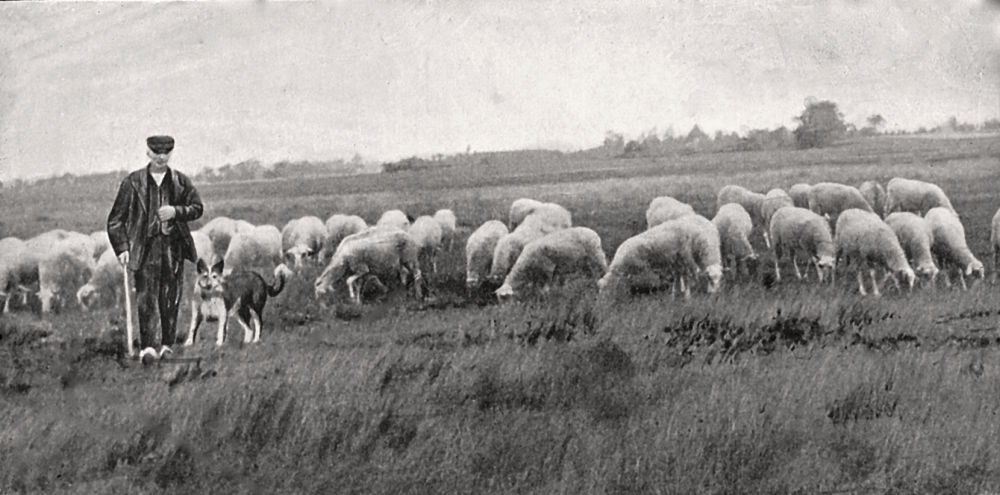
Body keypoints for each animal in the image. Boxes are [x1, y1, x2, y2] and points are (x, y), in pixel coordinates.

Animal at [596, 214, 724, 298]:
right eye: (710, 279)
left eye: (719, 279)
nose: (714, 295)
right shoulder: (682, 260)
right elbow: (682, 278)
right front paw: (682, 295)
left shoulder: (681, 261)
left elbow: (681, 278)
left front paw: (681, 295)